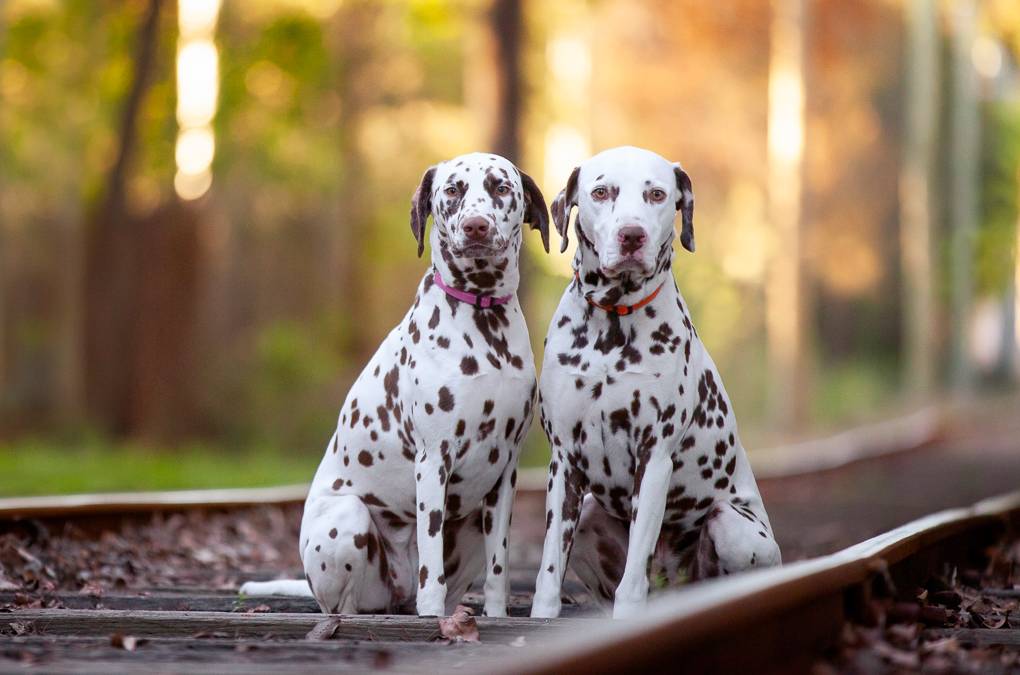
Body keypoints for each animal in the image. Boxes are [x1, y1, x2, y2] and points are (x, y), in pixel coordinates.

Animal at [242, 152, 550, 619]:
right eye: (453, 189)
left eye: (501, 187)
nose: (476, 226)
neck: (483, 323)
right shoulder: (434, 459)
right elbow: (431, 565)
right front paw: (433, 613)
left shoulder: (504, 474)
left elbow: (499, 568)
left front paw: (496, 614)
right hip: (347, 520)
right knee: (345, 606)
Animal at [530, 146, 775, 619]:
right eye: (601, 192)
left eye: (657, 194)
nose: (632, 236)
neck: (612, 326)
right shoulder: (564, 463)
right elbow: (549, 565)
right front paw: (542, 613)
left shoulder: (654, 458)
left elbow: (633, 575)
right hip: (589, 513)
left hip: (731, 525)